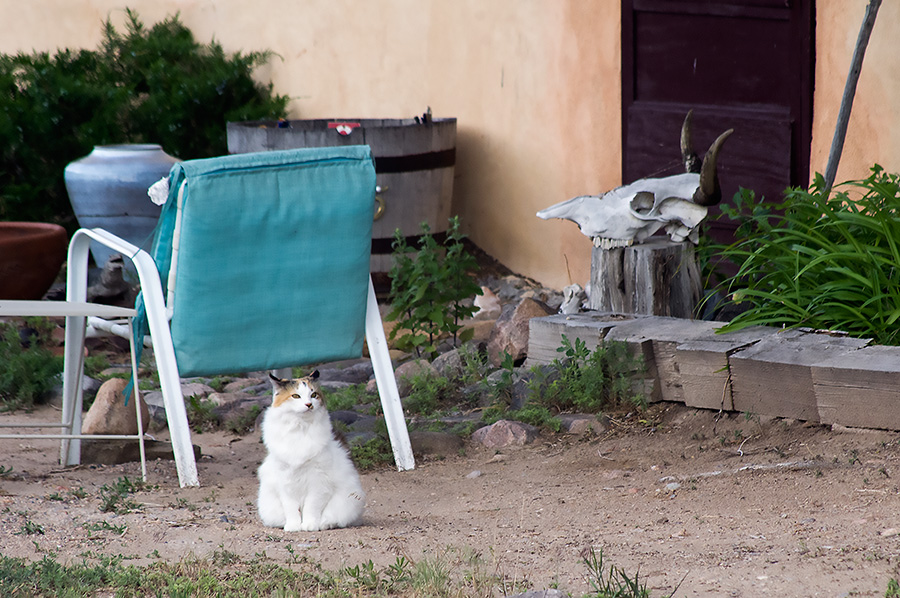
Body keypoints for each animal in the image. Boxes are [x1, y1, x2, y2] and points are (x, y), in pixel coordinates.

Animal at [256, 372, 366, 532]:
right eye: (296, 396)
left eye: (313, 395)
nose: (309, 404)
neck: (300, 428)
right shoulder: (285, 481)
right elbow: (291, 508)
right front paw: (293, 526)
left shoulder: (318, 481)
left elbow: (311, 506)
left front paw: (310, 525)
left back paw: (325, 523)